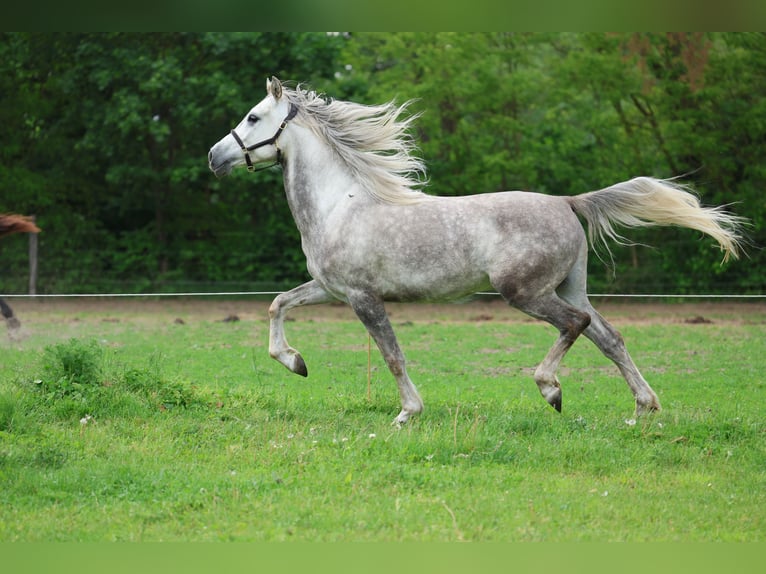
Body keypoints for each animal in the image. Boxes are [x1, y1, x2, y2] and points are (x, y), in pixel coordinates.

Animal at [208, 77, 745, 425]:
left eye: (253, 116)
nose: (215, 156)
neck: (340, 204)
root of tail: (567, 201)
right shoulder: (329, 289)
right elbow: (278, 304)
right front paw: (294, 361)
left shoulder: (363, 298)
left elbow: (392, 356)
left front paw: (407, 414)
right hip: (571, 287)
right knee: (609, 337)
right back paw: (643, 410)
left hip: (525, 292)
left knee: (576, 327)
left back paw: (551, 390)